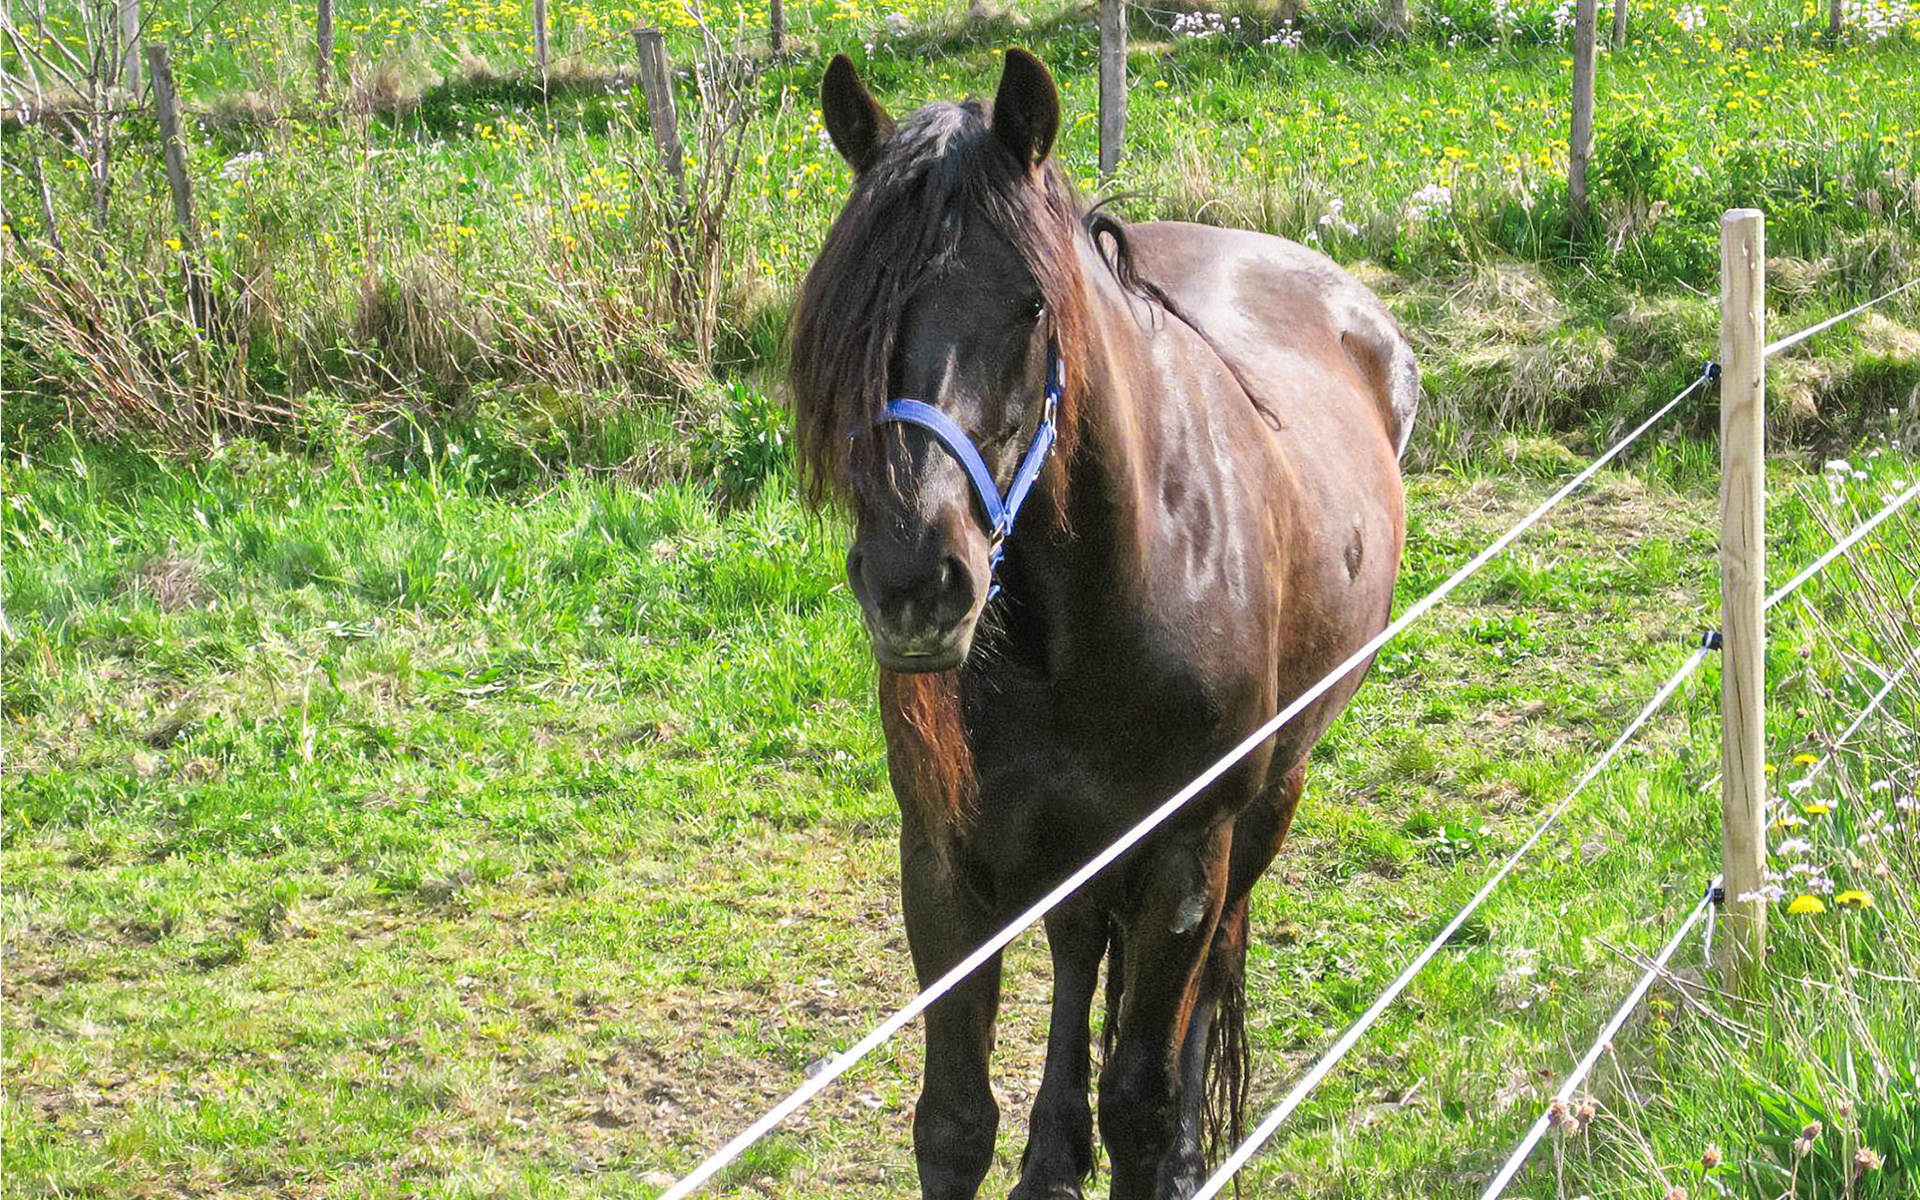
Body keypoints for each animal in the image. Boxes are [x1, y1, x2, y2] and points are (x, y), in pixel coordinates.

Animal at [787, 49, 1417, 1200]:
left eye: (1033, 302)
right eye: (845, 308)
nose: (915, 579)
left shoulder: (1181, 858)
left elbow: (1144, 1093)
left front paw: (1155, 1149)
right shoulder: (945, 860)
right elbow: (954, 1121)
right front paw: (1039, 1142)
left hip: (1271, 800)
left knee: (1215, 963)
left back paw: (1183, 1157)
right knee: (1083, 946)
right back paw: (1052, 1152)